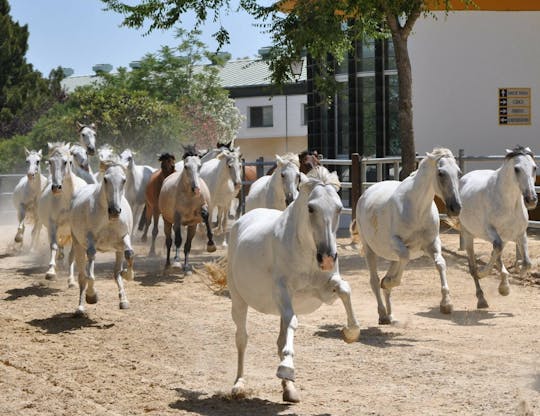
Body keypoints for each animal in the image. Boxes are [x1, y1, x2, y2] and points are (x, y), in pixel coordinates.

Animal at [37, 141, 86, 284]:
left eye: (66, 162)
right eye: (50, 162)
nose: (56, 187)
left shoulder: (74, 229)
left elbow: (73, 253)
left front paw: (71, 280)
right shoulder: (52, 224)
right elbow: (53, 246)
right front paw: (50, 272)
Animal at [69, 157, 134, 316]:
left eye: (124, 180)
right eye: (105, 179)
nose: (115, 211)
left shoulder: (124, 238)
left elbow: (129, 254)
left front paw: (127, 274)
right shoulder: (90, 242)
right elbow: (90, 274)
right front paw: (92, 296)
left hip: (117, 250)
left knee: (116, 272)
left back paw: (123, 300)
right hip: (78, 245)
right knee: (82, 276)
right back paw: (80, 308)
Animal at [227, 166, 358, 404]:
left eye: (338, 208)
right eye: (311, 208)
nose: (327, 258)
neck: (305, 250)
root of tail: (243, 220)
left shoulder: (325, 291)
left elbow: (345, 289)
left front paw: (351, 332)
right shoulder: (283, 292)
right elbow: (292, 322)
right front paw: (287, 367)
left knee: (279, 340)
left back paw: (289, 390)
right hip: (239, 300)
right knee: (242, 339)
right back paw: (239, 385)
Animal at [352, 149, 462, 324]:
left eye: (458, 172)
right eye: (440, 173)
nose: (456, 207)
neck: (417, 209)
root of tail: (365, 195)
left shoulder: (432, 243)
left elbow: (440, 264)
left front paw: (446, 304)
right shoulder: (396, 243)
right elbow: (405, 257)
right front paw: (389, 282)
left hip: (392, 257)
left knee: (387, 277)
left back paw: (390, 315)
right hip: (370, 250)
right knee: (374, 281)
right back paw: (383, 314)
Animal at [458, 145, 536, 308]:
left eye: (534, 167)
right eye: (517, 169)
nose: (531, 199)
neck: (509, 203)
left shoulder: (521, 233)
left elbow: (527, 262)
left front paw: (518, 270)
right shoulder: (490, 230)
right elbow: (494, 253)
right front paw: (484, 273)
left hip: (504, 237)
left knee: (497, 253)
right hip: (468, 235)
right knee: (473, 266)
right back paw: (481, 298)